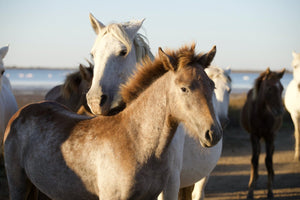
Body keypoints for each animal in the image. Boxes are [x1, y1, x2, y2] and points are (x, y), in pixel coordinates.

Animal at [3, 44, 221, 200]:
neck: (136, 142)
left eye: (212, 85)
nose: (213, 134)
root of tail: (22, 111)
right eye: (184, 88)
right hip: (17, 183)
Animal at [240, 67, 284, 200]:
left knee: (270, 153)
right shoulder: (254, 136)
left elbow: (268, 160)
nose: (280, 111)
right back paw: (255, 178)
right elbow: (254, 160)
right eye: (269, 88)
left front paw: (270, 191)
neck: (261, 114)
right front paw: (250, 191)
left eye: (282, 88)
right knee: (257, 155)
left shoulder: (270, 136)